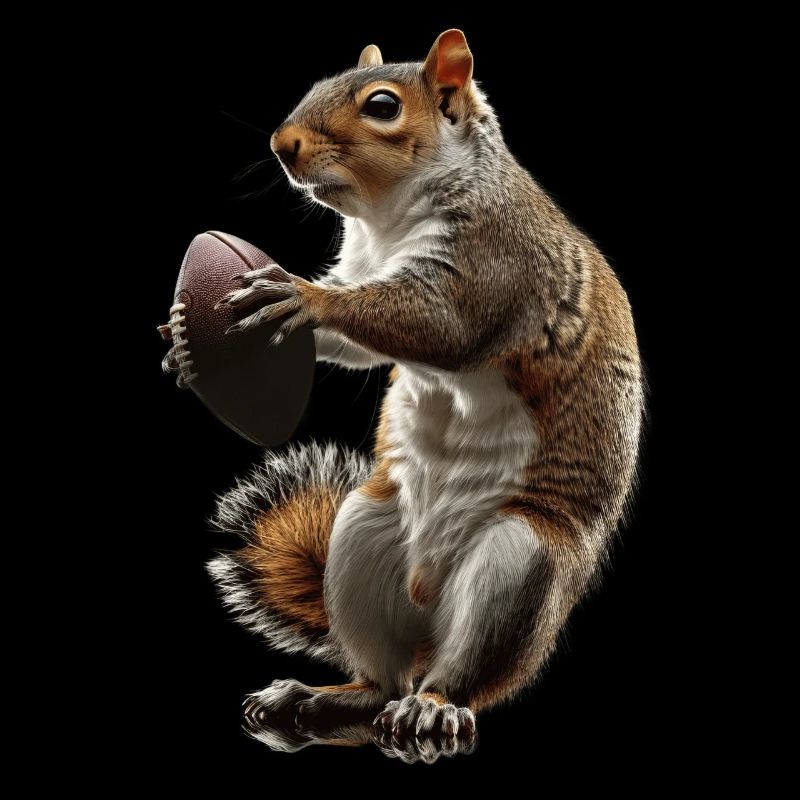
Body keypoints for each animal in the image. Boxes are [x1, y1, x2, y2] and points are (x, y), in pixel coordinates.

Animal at [208, 29, 644, 740]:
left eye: (383, 106)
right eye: (318, 82)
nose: (281, 144)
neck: (385, 221)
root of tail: (427, 614)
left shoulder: (496, 261)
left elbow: (437, 325)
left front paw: (302, 296)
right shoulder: (361, 263)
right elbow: (358, 339)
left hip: (515, 563)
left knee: (462, 676)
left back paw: (432, 706)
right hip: (361, 529)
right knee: (378, 681)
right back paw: (318, 697)